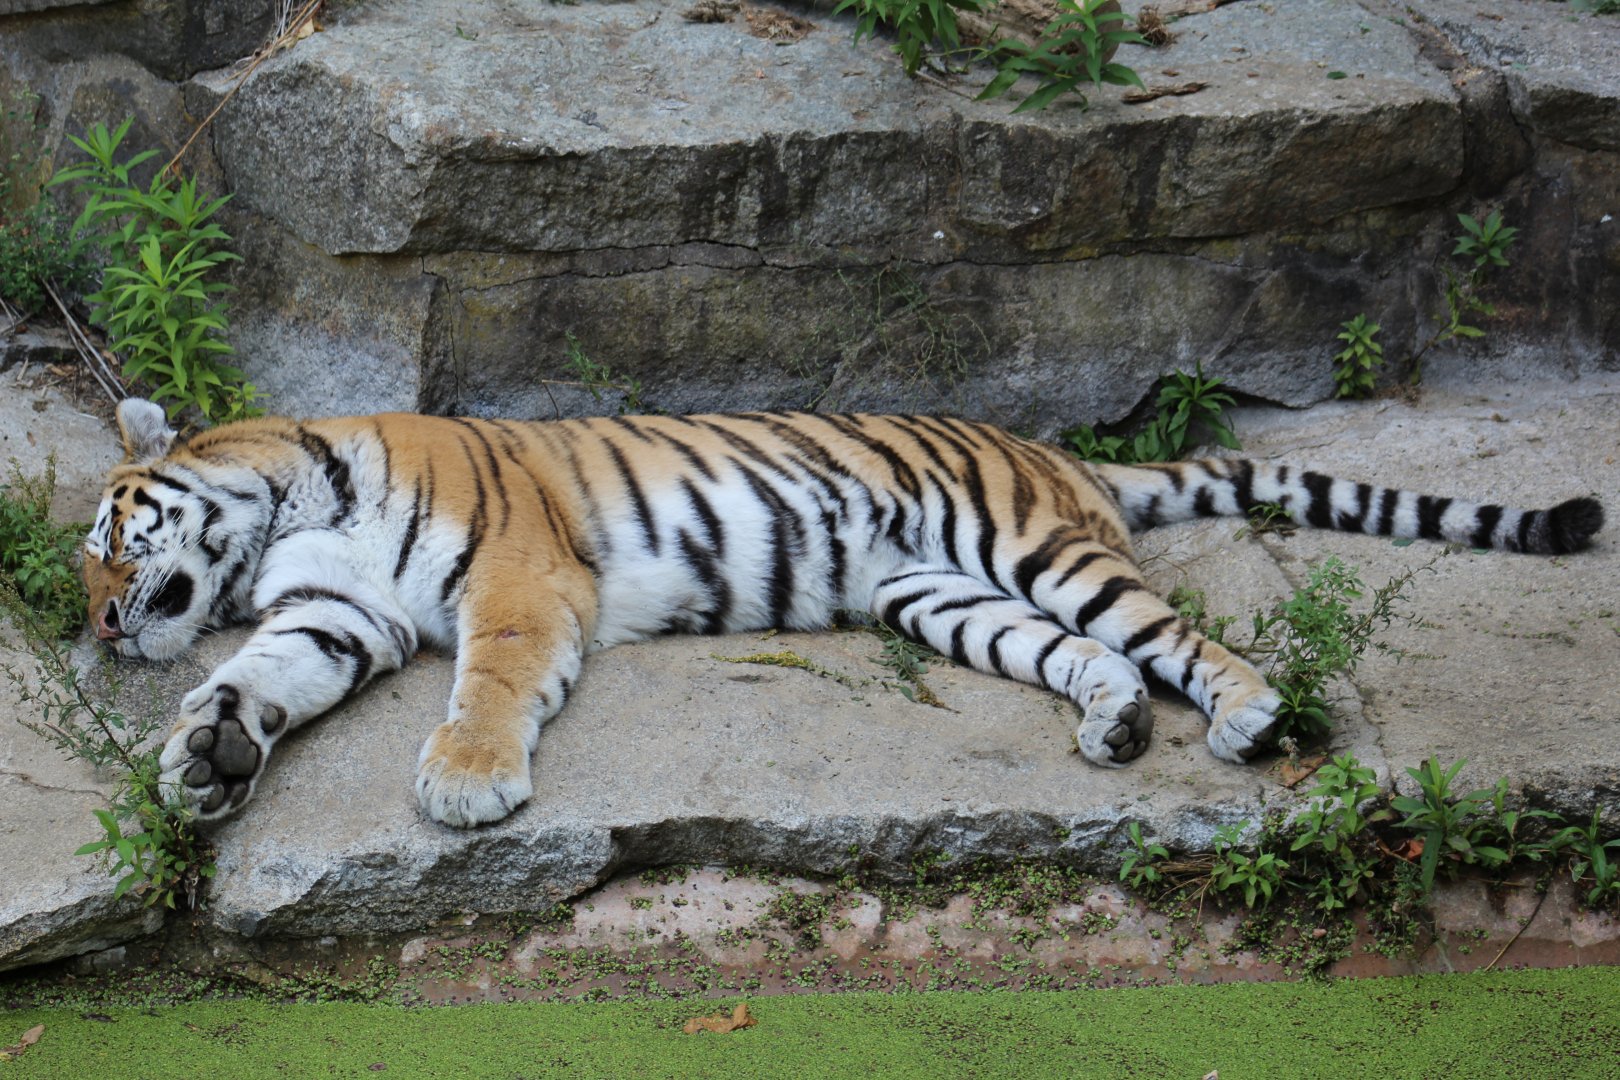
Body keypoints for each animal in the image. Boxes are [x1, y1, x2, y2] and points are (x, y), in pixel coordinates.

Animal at [82, 398, 1603, 829]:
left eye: (106, 538)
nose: (97, 627)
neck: (284, 506)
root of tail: (1064, 455)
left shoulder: (519, 578)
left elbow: (494, 680)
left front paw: (464, 780)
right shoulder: (340, 612)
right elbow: (261, 676)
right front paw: (206, 753)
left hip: (1035, 550)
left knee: (1175, 634)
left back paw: (1244, 719)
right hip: (943, 596)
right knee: (1090, 659)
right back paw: (1115, 731)